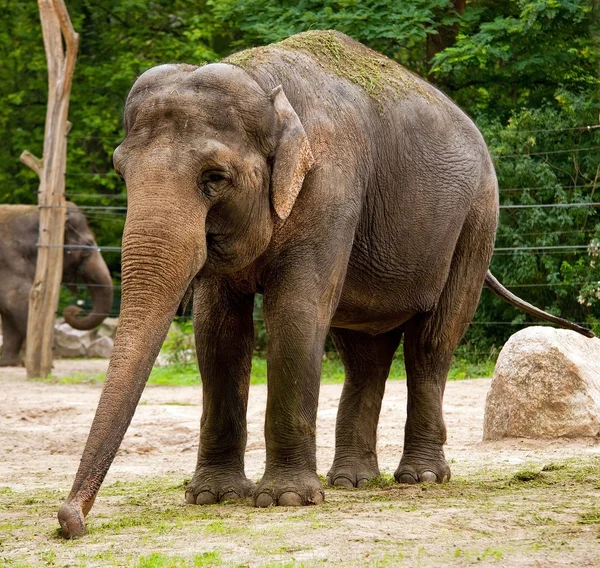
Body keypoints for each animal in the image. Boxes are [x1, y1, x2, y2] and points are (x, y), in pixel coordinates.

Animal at [0, 202, 114, 366]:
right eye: (87, 246)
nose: (77, 310)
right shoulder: (10, 264)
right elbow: (20, 305)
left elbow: (10, 314)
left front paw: (10, 363)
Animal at [56, 31, 592, 536]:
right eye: (121, 171)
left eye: (215, 177)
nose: (69, 520)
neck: (262, 82)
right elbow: (218, 334)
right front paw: (212, 497)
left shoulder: (331, 186)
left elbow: (295, 313)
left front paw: (286, 500)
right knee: (364, 354)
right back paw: (352, 481)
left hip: (475, 224)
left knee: (431, 343)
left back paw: (420, 478)